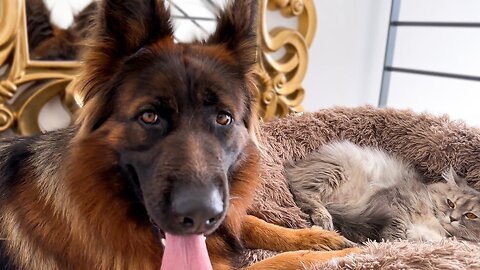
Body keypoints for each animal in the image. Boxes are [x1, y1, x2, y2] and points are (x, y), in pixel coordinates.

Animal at [0, 1, 356, 268]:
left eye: (223, 118)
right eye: (149, 116)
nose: (199, 216)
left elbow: (252, 221)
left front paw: (318, 238)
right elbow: (277, 261)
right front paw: (346, 252)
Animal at [284, 141, 480, 243]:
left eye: (470, 216)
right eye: (450, 203)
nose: (452, 218)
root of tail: (293, 166)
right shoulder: (394, 203)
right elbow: (397, 231)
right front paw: (394, 243)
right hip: (334, 171)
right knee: (302, 193)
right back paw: (325, 218)